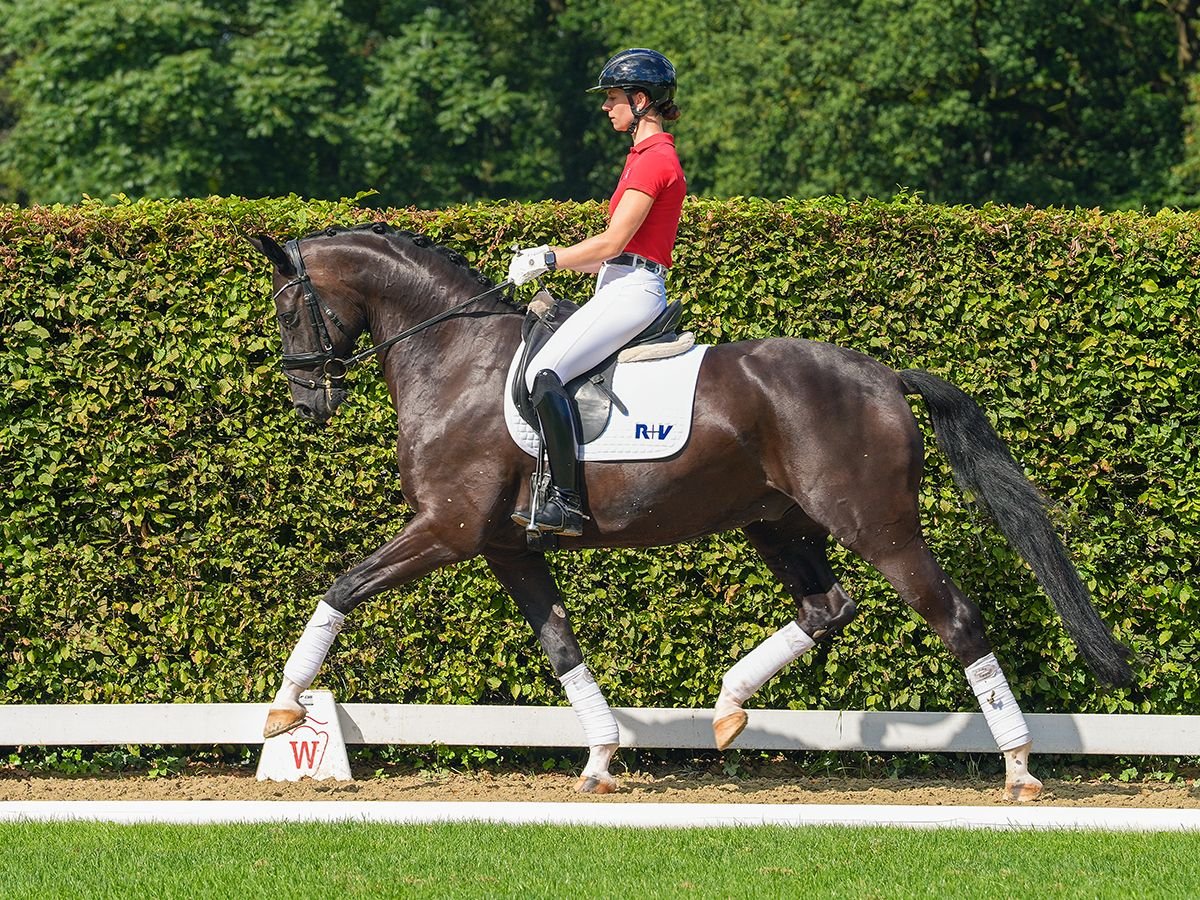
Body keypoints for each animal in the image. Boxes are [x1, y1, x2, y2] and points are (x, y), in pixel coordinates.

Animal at [248, 225, 1128, 801]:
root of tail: (882, 375)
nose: (306, 402)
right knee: (827, 607)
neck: (454, 360)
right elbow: (561, 645)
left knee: (955, 619)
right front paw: (601, 760)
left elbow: (342, 587)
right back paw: (728, 708)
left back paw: (1019, 770)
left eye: (291, 308)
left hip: (877, 526)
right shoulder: (506, 547)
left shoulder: (446, 529)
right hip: (775, 522)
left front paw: (286, 706)